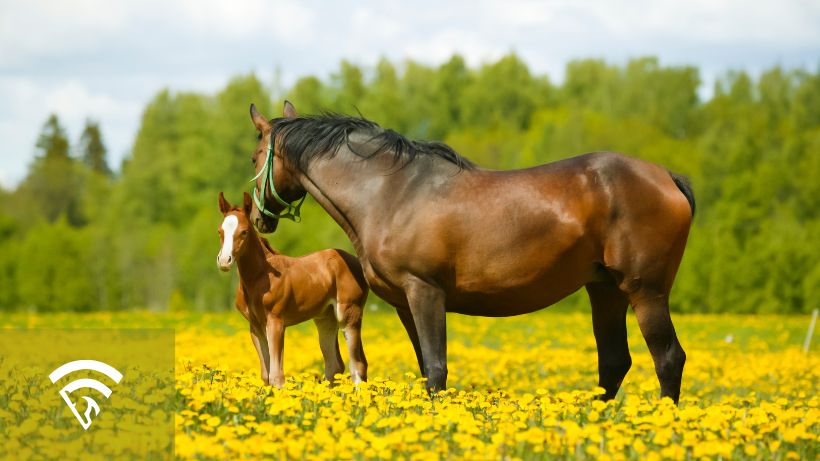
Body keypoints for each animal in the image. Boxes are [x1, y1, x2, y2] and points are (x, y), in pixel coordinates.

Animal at [219, 190, 370, 384]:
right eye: (220, 231)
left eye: (244, 232)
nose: (224, 261)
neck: (259, 277)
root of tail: (357, 262)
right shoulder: (255, 327)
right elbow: (265, 376)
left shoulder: (276, 322)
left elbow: (276, 376)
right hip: (325, 318)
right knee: (334, 365)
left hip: (349, 315)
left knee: (357, 366)